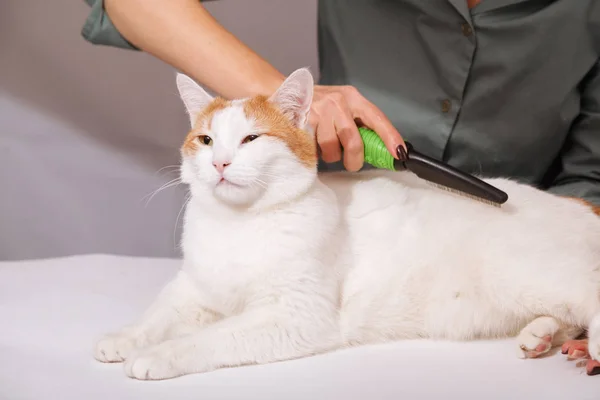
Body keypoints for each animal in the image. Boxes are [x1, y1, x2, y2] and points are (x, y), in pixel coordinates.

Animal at [95, 67, 600, 380]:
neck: (240, 227)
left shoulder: (296, 316)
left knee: (587, 293)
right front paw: (124, 338)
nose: (219, 162)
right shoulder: (192, 289)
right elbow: (158, 314)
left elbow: (211, 336)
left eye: (251, 139)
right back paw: (541, 335)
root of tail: (578, 204)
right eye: (205, 140)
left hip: (527, 273)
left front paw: (156, 356)